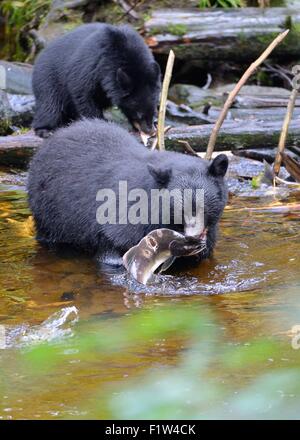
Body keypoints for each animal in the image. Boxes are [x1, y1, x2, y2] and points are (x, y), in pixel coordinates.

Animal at [32, 24, 162, 138]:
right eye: (138, 113)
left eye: (155, 109)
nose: (150, 130)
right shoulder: (91, 66)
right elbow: (82, 93)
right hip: (48, 80)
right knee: (50, 106)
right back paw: (45, 130)